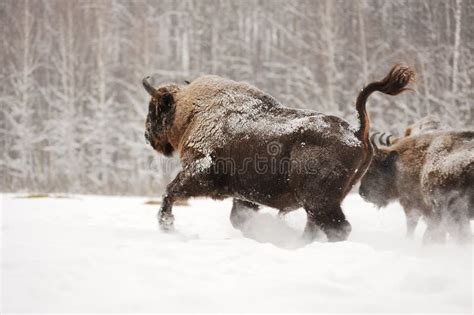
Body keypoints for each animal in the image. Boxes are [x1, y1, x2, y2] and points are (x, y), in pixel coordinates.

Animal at [144, 64, 414, 242]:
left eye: (155, 108)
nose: (147, 136)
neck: (192, 113)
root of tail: (357, 132)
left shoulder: (198, 173)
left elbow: (170, 191)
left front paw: (166, 225)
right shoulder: (245, 196)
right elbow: (237, 218)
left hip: (319, 202)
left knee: (337, 228)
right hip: (321, 203)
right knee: (318, 227)